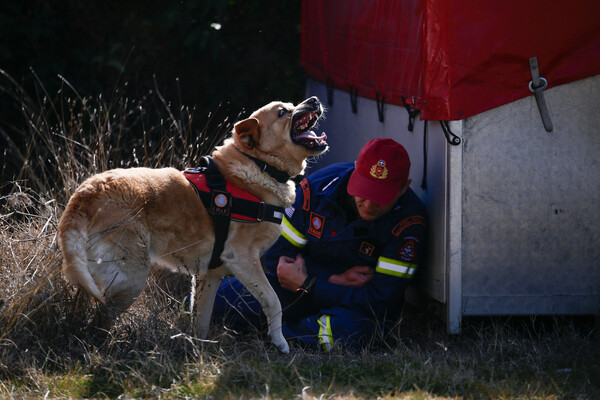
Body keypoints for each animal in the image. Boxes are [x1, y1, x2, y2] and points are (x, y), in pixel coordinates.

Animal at [56, 97, 328, 354]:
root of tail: (87, 192)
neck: (261, 166)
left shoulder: (209, 276)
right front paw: (279, 341)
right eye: (283, 112)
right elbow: (274, 301)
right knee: (100, 318)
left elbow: (201, 322)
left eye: (292, 104)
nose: (314, 99)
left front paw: (197, 351)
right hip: (132, 277)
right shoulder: (244, 259)